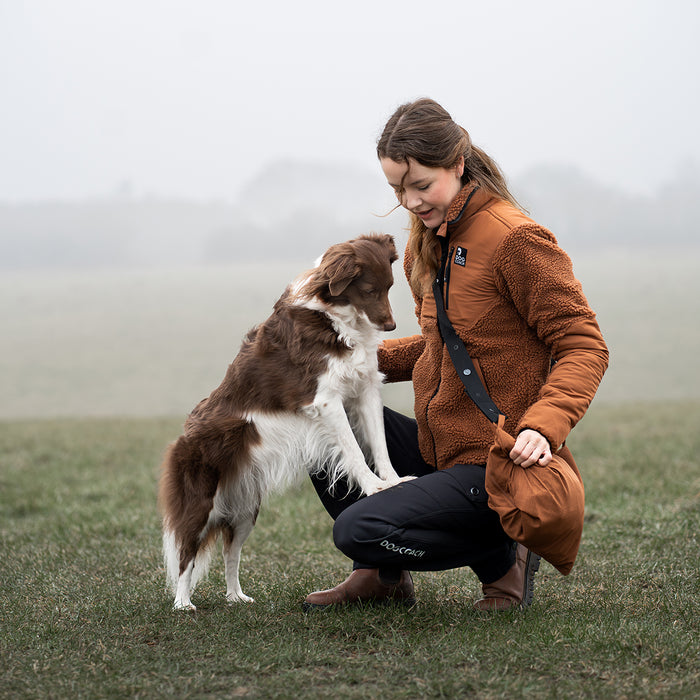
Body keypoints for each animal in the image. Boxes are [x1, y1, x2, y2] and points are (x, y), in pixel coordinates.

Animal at [159, 232, 410, 608]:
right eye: (368, 290)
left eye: (390, 286)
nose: (390, 326)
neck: (337, 318)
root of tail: (183, 435)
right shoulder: (326, 400)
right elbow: (353, 450)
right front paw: (373, 487)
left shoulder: (365, 390)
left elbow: (379, 446)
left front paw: (393, 482)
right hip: (200, 503)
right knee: (186, 555)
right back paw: (182, 603)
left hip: (245, 510)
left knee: (230, 554)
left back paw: (236, 597)